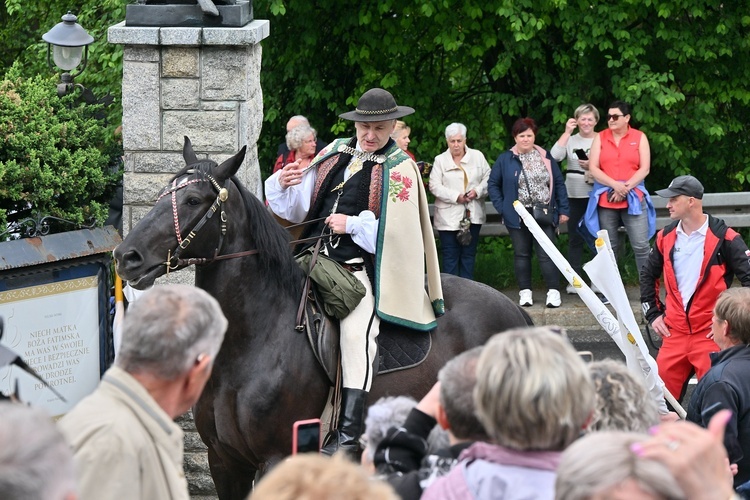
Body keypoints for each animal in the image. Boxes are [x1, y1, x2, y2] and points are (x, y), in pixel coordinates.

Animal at [114, 139, 532, 498]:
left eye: (193, 199)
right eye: (162, 193)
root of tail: (515, 312)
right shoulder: (225, 462)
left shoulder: (278, 459)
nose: (126, 256)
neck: (253, 340)